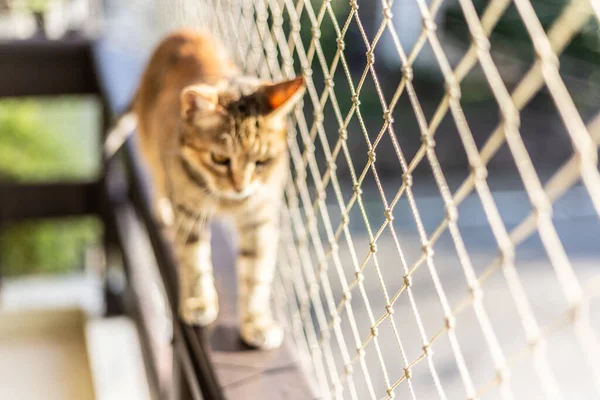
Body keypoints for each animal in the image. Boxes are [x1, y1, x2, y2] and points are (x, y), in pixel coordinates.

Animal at [129, 30, 302, 350]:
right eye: (220, 159)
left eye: (261, 162)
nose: (240, 187)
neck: (227, 202)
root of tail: (182, 32)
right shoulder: (189, 212)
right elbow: (194, 260)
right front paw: (198, 302)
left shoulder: (259, 218)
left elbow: (256, 274)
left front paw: (256, 322)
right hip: (151, 147)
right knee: (158, 177)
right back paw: (162, 207)